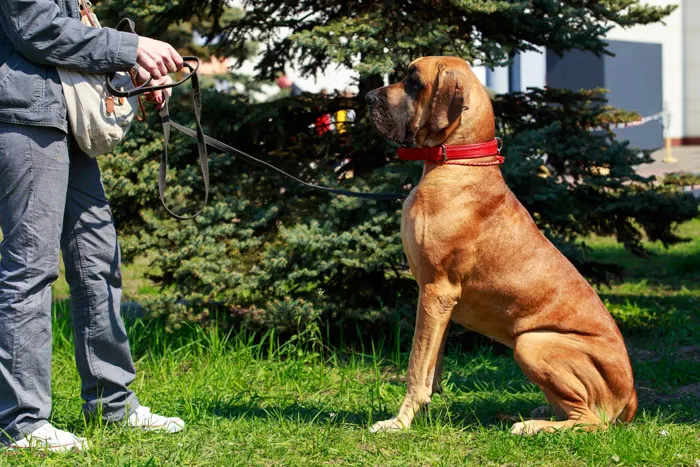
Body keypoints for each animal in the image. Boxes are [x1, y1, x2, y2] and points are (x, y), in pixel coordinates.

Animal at [366, 57, 636, 436]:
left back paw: (532, 426)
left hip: (532, 343)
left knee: (591, 422)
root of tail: (631, 398)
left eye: (413, 81)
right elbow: (432, 364)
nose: (367, 98)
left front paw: (399, 422)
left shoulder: (435, 291)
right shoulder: (438, 302)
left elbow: (416, 366)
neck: (458, 160)